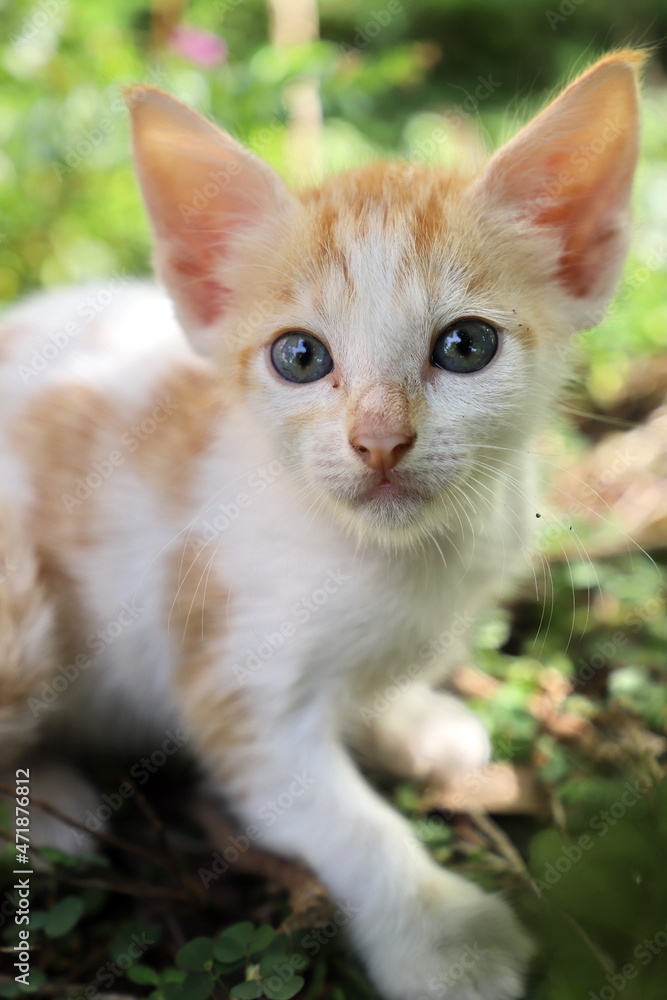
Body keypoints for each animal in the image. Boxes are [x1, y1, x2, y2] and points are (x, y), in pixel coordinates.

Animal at [0, 52, 648, 1000]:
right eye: (299, 357)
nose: (379, 440)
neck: (393, 559)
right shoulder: (231, 676)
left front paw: (409, 720)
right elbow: (350, 823)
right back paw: (52, 812)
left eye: (465, 346)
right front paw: (444, 938)